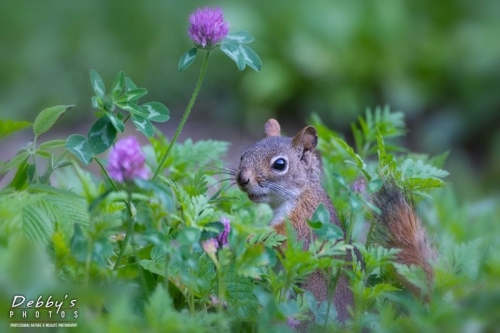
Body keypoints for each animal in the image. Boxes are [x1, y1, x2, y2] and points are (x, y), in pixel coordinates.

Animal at [234, 117, 434, 326]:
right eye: (243, 155)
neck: (299, 195)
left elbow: (280, 237)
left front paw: (247, 235)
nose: (242, 178)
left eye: (280, 164)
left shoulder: (303, 223)